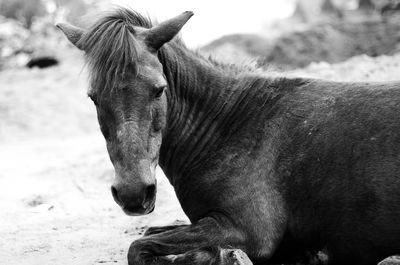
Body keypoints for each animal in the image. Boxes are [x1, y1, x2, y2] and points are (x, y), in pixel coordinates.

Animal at [57, 7, 400, 264]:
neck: (227, 126)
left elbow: (141, 248)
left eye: (159, 89)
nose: (133, 193)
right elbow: (151, 237)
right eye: (93, 98)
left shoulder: (246, 230)